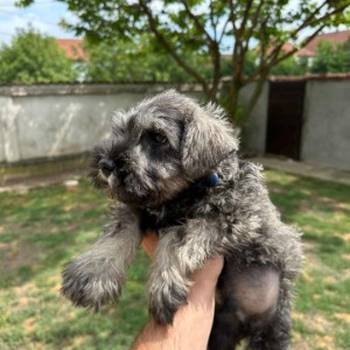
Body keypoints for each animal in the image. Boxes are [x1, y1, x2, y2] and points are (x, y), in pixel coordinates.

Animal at [61, 89, 302, 348]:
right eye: (121, 130)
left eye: (158, 138)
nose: (105, 165)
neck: (183, 194)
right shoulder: (138, 207)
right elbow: (118, 231)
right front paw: (93, 275)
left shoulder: (234, 218)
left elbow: (179, 236)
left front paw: (163, 286)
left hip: (271, 330)